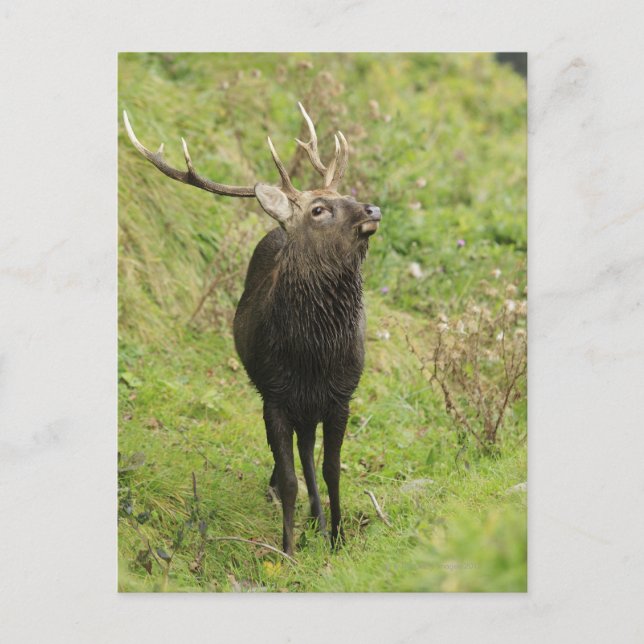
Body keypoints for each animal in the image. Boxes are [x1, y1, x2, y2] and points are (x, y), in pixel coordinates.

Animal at [123, 102, 382, 556]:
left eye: (347, 196)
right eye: (318, 210)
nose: (372, 210)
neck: (312, 355)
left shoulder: (341, 395)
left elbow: (332, 470)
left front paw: (337, 539)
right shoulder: (274, 395)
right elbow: (293, 477)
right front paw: (288, 549)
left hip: (310, 407)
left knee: (308, 452)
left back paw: (318, 521)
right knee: (298, 455)